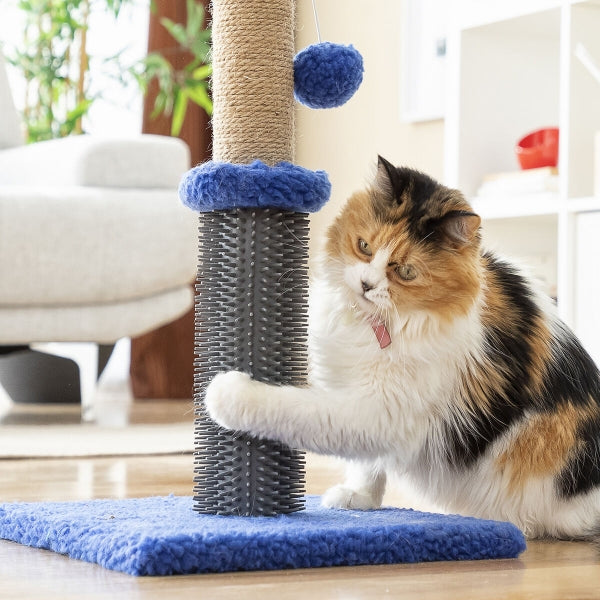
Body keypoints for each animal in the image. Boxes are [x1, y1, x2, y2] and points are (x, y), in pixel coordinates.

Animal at [204, 155, 600, 540]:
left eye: (406, 272)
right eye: (364, 247)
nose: (366, 284)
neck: (373, 322)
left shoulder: (381, 411)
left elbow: (292, 408)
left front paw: (225, 392)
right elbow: (368, 466)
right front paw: (359, 498)